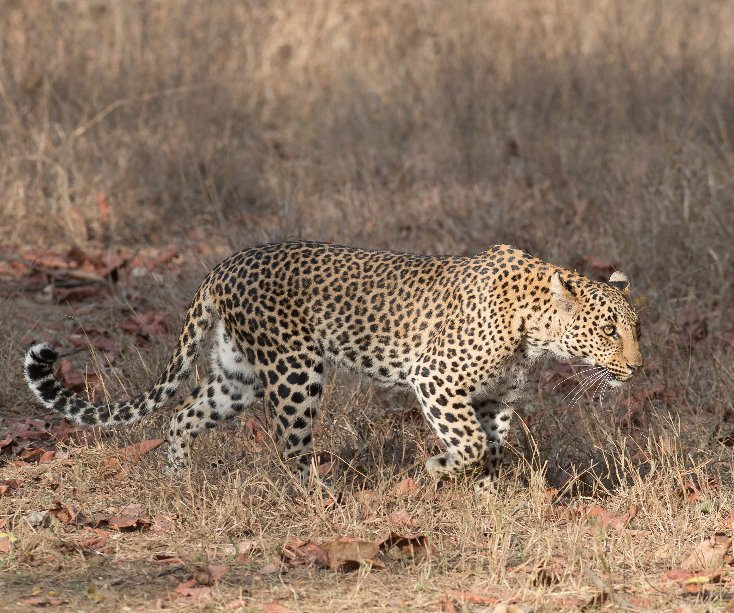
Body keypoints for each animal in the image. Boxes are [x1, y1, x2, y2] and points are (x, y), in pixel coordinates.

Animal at [24, 241, 644, 490]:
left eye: (636, 329)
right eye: (609, 330)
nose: (638, 368)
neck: (536, 332)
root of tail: (223, 266)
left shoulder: (493, 398)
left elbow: (489, 447)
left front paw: (481, 490)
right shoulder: (435, 378)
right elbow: (469, 444)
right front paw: (437, 470)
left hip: (237, 378)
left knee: (181, 416)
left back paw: (177, 480)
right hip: (295, 371)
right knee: (289, 443)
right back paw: (319, 494)